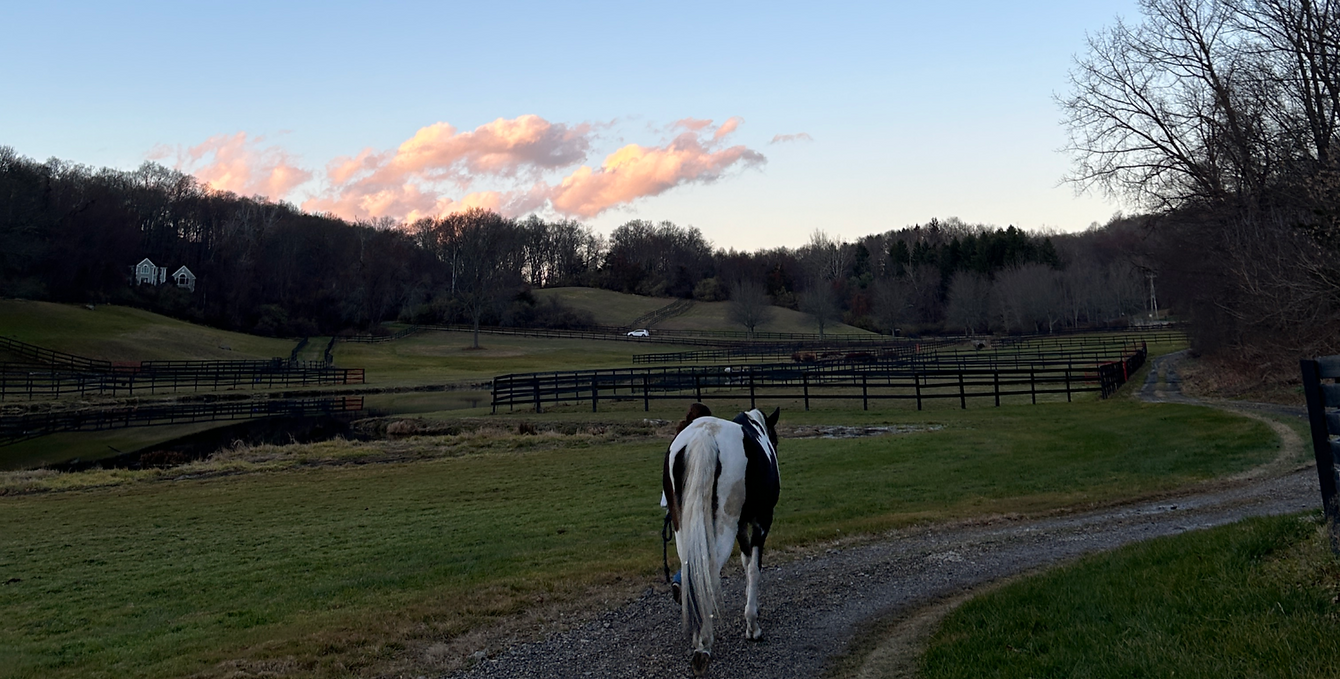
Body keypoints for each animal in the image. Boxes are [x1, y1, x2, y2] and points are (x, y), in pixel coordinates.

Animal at [662, 406, 781, 676]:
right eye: (776, 439)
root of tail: (704, 435)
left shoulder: (741, 526)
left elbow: (746, 562)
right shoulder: (760, 521)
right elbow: (754, 568)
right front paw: (753, 626)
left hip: (683, 526)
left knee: (691, 569)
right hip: (725, 522)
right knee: (708, 567)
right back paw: (704, 644)